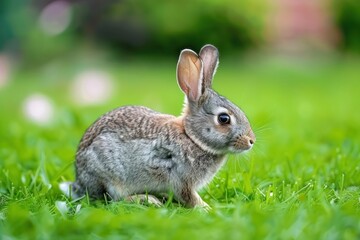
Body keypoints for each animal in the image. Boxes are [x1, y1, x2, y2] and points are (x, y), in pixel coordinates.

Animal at [59, 44, 256, 208]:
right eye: (224, 118)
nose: (251, 140)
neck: (192, 137)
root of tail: (79, 182)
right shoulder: (180, 179)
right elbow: (189, 197)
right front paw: (206, 208)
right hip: (108, 177)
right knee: (114, 200)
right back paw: (147, 200)